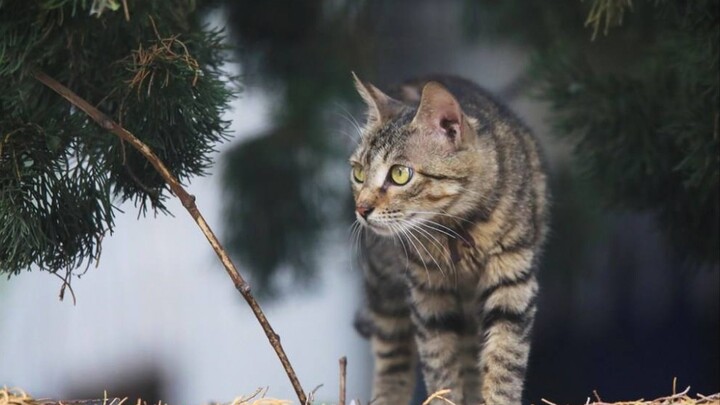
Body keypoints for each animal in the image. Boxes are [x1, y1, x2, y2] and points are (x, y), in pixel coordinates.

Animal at [352, 73, 548, 404]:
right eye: (358, 173)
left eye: (400, 174)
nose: (362, 209)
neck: (457, 227)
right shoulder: (427, 295)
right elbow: (440, 367)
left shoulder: (513, 279)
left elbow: (504, 361)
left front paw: (497, 397)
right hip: (384, 289)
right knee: (393, 358)